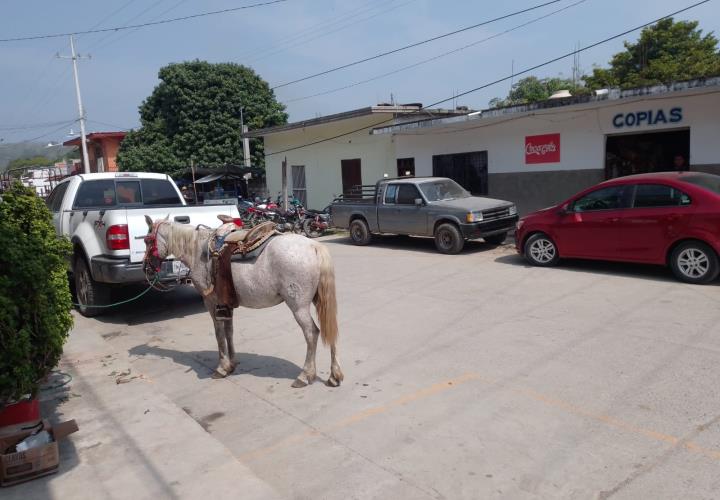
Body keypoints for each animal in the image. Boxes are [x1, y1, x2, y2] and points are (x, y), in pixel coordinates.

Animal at [143, 215, 344, 386]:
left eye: (147, 240)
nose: (147, 268)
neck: (197, 250)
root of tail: (314, 246)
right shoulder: (226, 303)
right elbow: (229, 331)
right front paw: (232, 364)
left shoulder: (211, 302)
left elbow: (219, 334)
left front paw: (222, 368)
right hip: (320, 301)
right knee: (330, 330)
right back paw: (334, 376)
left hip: (298, 306)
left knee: (312, 333)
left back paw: (305, 375)